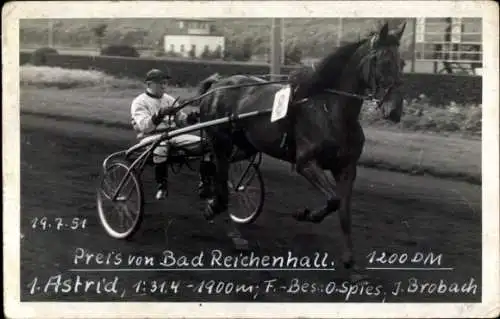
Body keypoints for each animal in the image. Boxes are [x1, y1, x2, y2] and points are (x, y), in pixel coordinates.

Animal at [195, 22, 406, 278]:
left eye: (403, 63)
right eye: (383, 62)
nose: (395, 111)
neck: (330, 111)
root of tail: (216, 85)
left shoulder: (347, 168)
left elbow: (345, 213)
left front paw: (350, 262)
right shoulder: (306, 162)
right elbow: (333, 200)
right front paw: (306, 214)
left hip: (246, 145)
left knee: (218, 169)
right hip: (220, 139)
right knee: (219, 172)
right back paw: (218, 210)